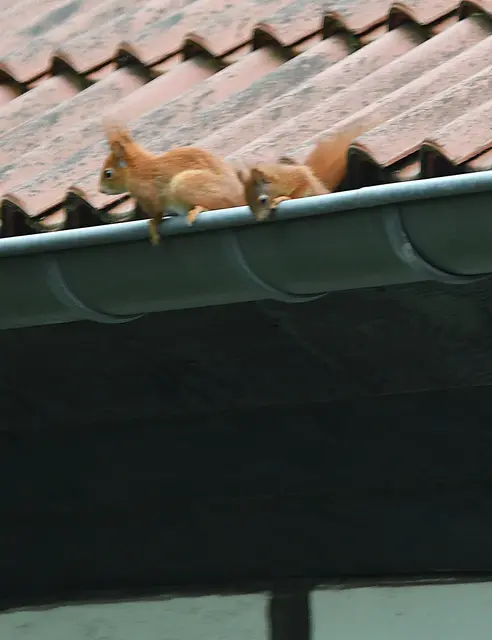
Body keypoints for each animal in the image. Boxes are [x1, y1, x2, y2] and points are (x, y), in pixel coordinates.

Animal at [98, 124, 245, 245]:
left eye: (108, 173)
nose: (100, 190)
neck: (137, 171)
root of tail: (240, 198)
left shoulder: (151, 197)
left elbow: (157, 214)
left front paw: (153, 227)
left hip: (184, 184)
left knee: (219, 205)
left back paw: (198, 210)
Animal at [236, 124, 365, 221]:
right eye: (248, 202)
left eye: (263, 200)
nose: (259, 220)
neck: (279, 182)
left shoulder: (296, 177)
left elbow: (299, 189)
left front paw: (283, 198)